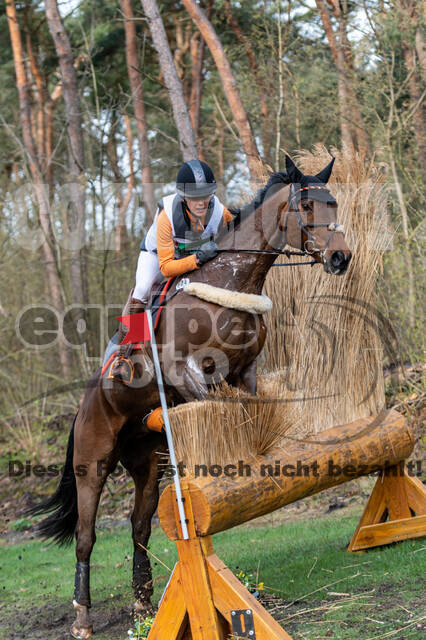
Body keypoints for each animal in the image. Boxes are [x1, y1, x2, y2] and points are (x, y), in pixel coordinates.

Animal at [29, 156, 350, 640]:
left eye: (334, 202)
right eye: (308, 205)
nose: (340, 257)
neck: (230, 285)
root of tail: (82, 409)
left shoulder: (245, 372)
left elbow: (249, 411)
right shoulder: (188, 371)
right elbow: (220, 407)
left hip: (147, 463)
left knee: (139, 527)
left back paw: (143, 604)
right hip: (93, 460)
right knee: (86, 537)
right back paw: (82, 617)